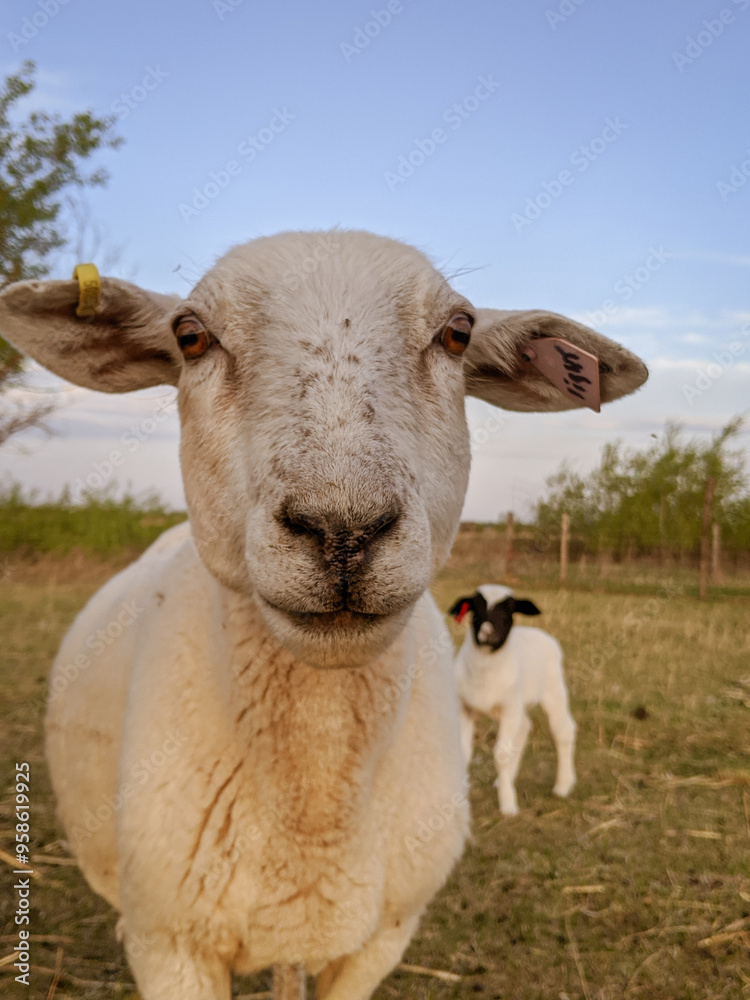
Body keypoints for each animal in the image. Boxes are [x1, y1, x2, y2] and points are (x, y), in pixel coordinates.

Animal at [450, 585, 576, 816]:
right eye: (475, 608)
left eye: (509, 610)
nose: (487, 633)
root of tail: (538, 633)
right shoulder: (465, 708)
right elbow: (465, 753)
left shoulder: (510, 709)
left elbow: (501, 754)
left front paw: (508, 804)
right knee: (525, 728)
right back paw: (505, 780)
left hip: (553, 690)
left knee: (563, 731)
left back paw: (563, 785)